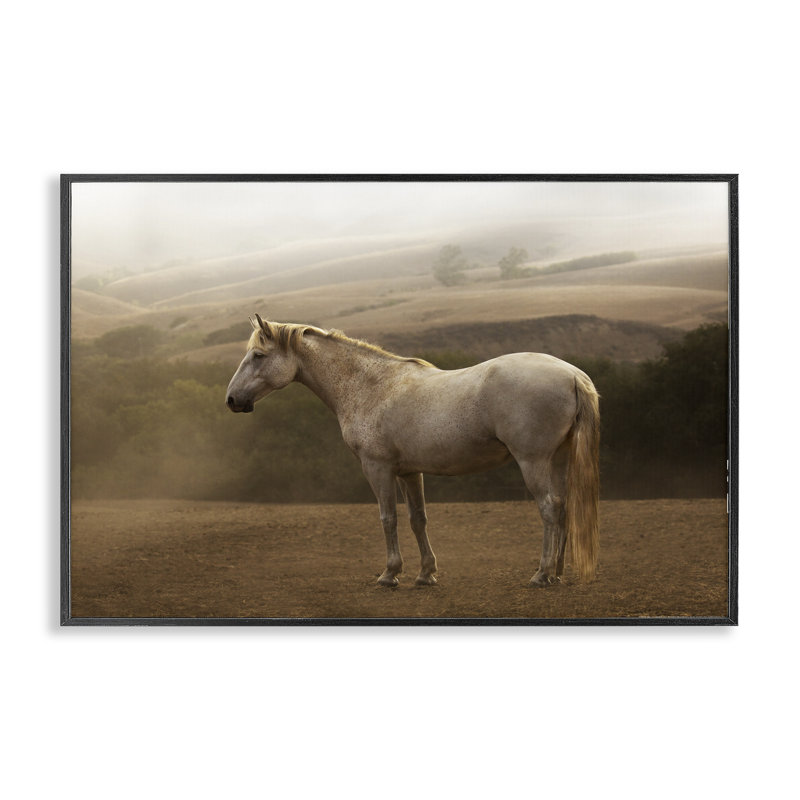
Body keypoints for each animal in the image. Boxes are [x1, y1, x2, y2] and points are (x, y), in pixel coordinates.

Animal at [226, 314, 600, 588]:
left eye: (258, 356)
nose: (232, 400)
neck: (371, 386)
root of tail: (572, 375)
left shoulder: (377, 468)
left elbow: (388, 518)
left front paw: (390, 574)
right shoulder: (409, 471)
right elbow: (418, 519)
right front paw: (425, 574)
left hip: (533, 461)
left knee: (548, 508)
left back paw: (542, 574)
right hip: (557, 460)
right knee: (562, 507)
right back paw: (558, 573)